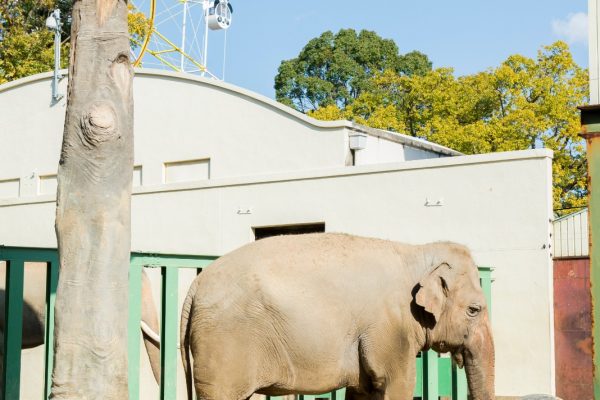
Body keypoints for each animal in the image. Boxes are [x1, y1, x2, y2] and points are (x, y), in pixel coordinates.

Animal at [180, 233, 494, 400]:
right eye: (474, 309)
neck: (417, 254)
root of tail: (196, 286)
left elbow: (364, 390)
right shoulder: (390, 330)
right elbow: (398, 384)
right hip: (224, 345)